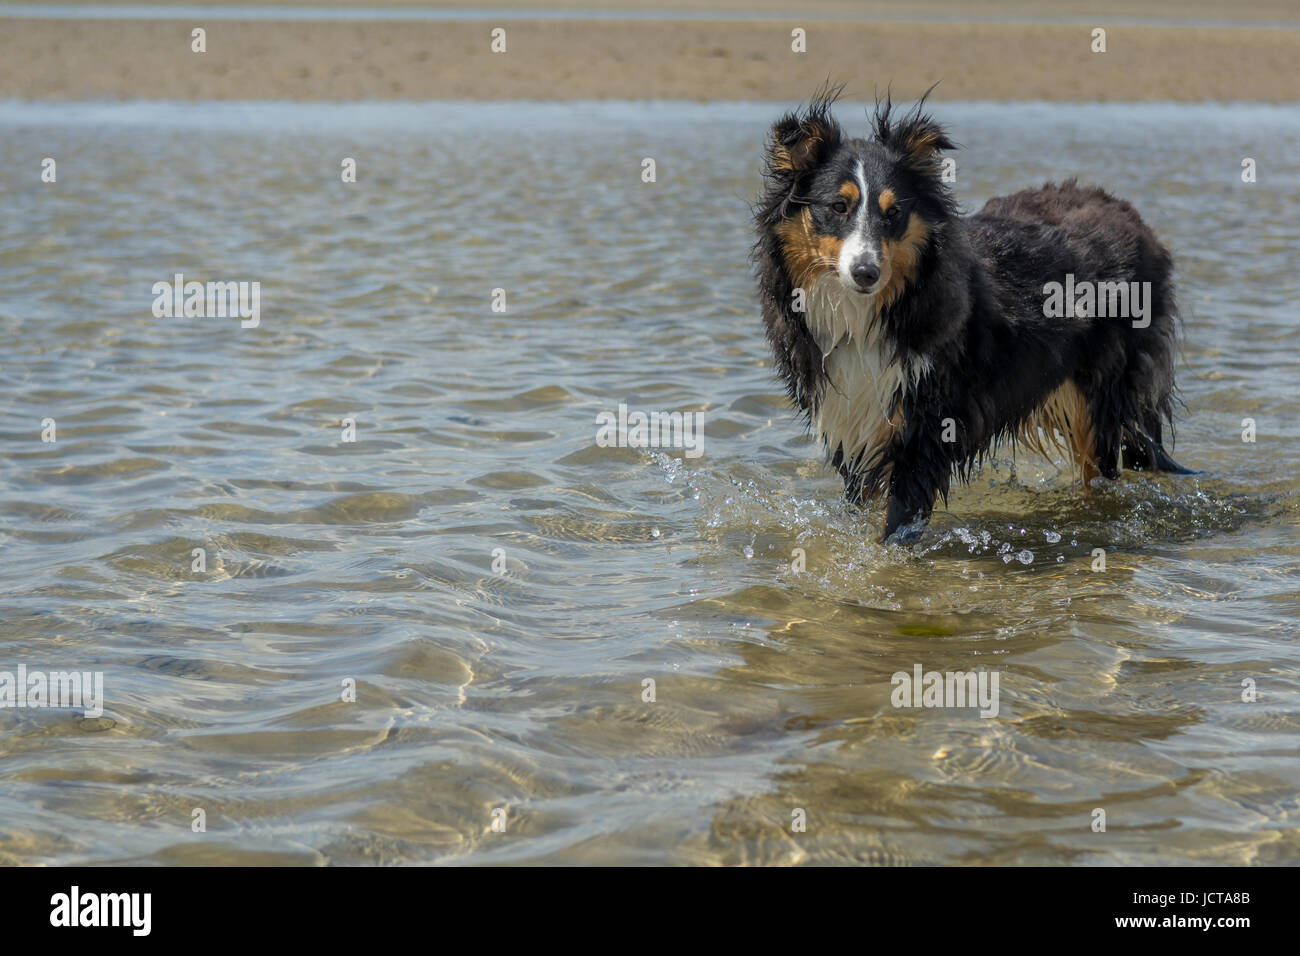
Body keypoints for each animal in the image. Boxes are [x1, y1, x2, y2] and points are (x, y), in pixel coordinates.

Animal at [748, 91, 1190, 546]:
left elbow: (896, 527)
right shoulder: (854, 424)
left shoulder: (923, 430)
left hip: (1101, 395)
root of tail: (1129, 214)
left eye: (894, 213)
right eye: (838, 206)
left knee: (1104, 468)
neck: (868, 316)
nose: (866, 273)